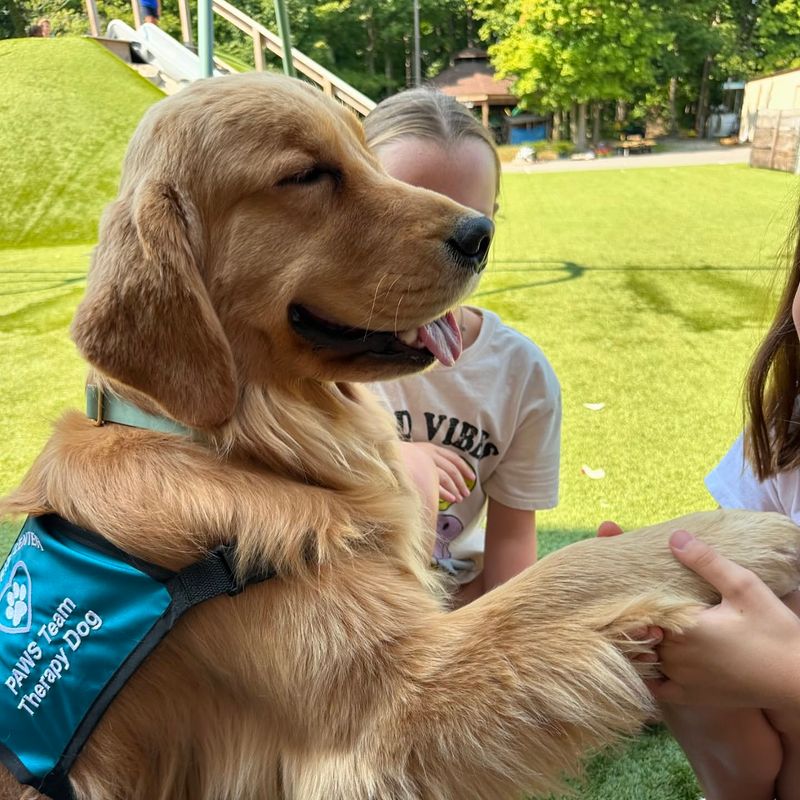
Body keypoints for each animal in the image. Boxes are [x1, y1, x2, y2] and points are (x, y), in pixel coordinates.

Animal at [1, 72, 800, 796]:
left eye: (367, 158)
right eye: (305, 175)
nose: (481, 234)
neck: (232, 446)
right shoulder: (393, 702)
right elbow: (560, 576)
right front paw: (748, 539)